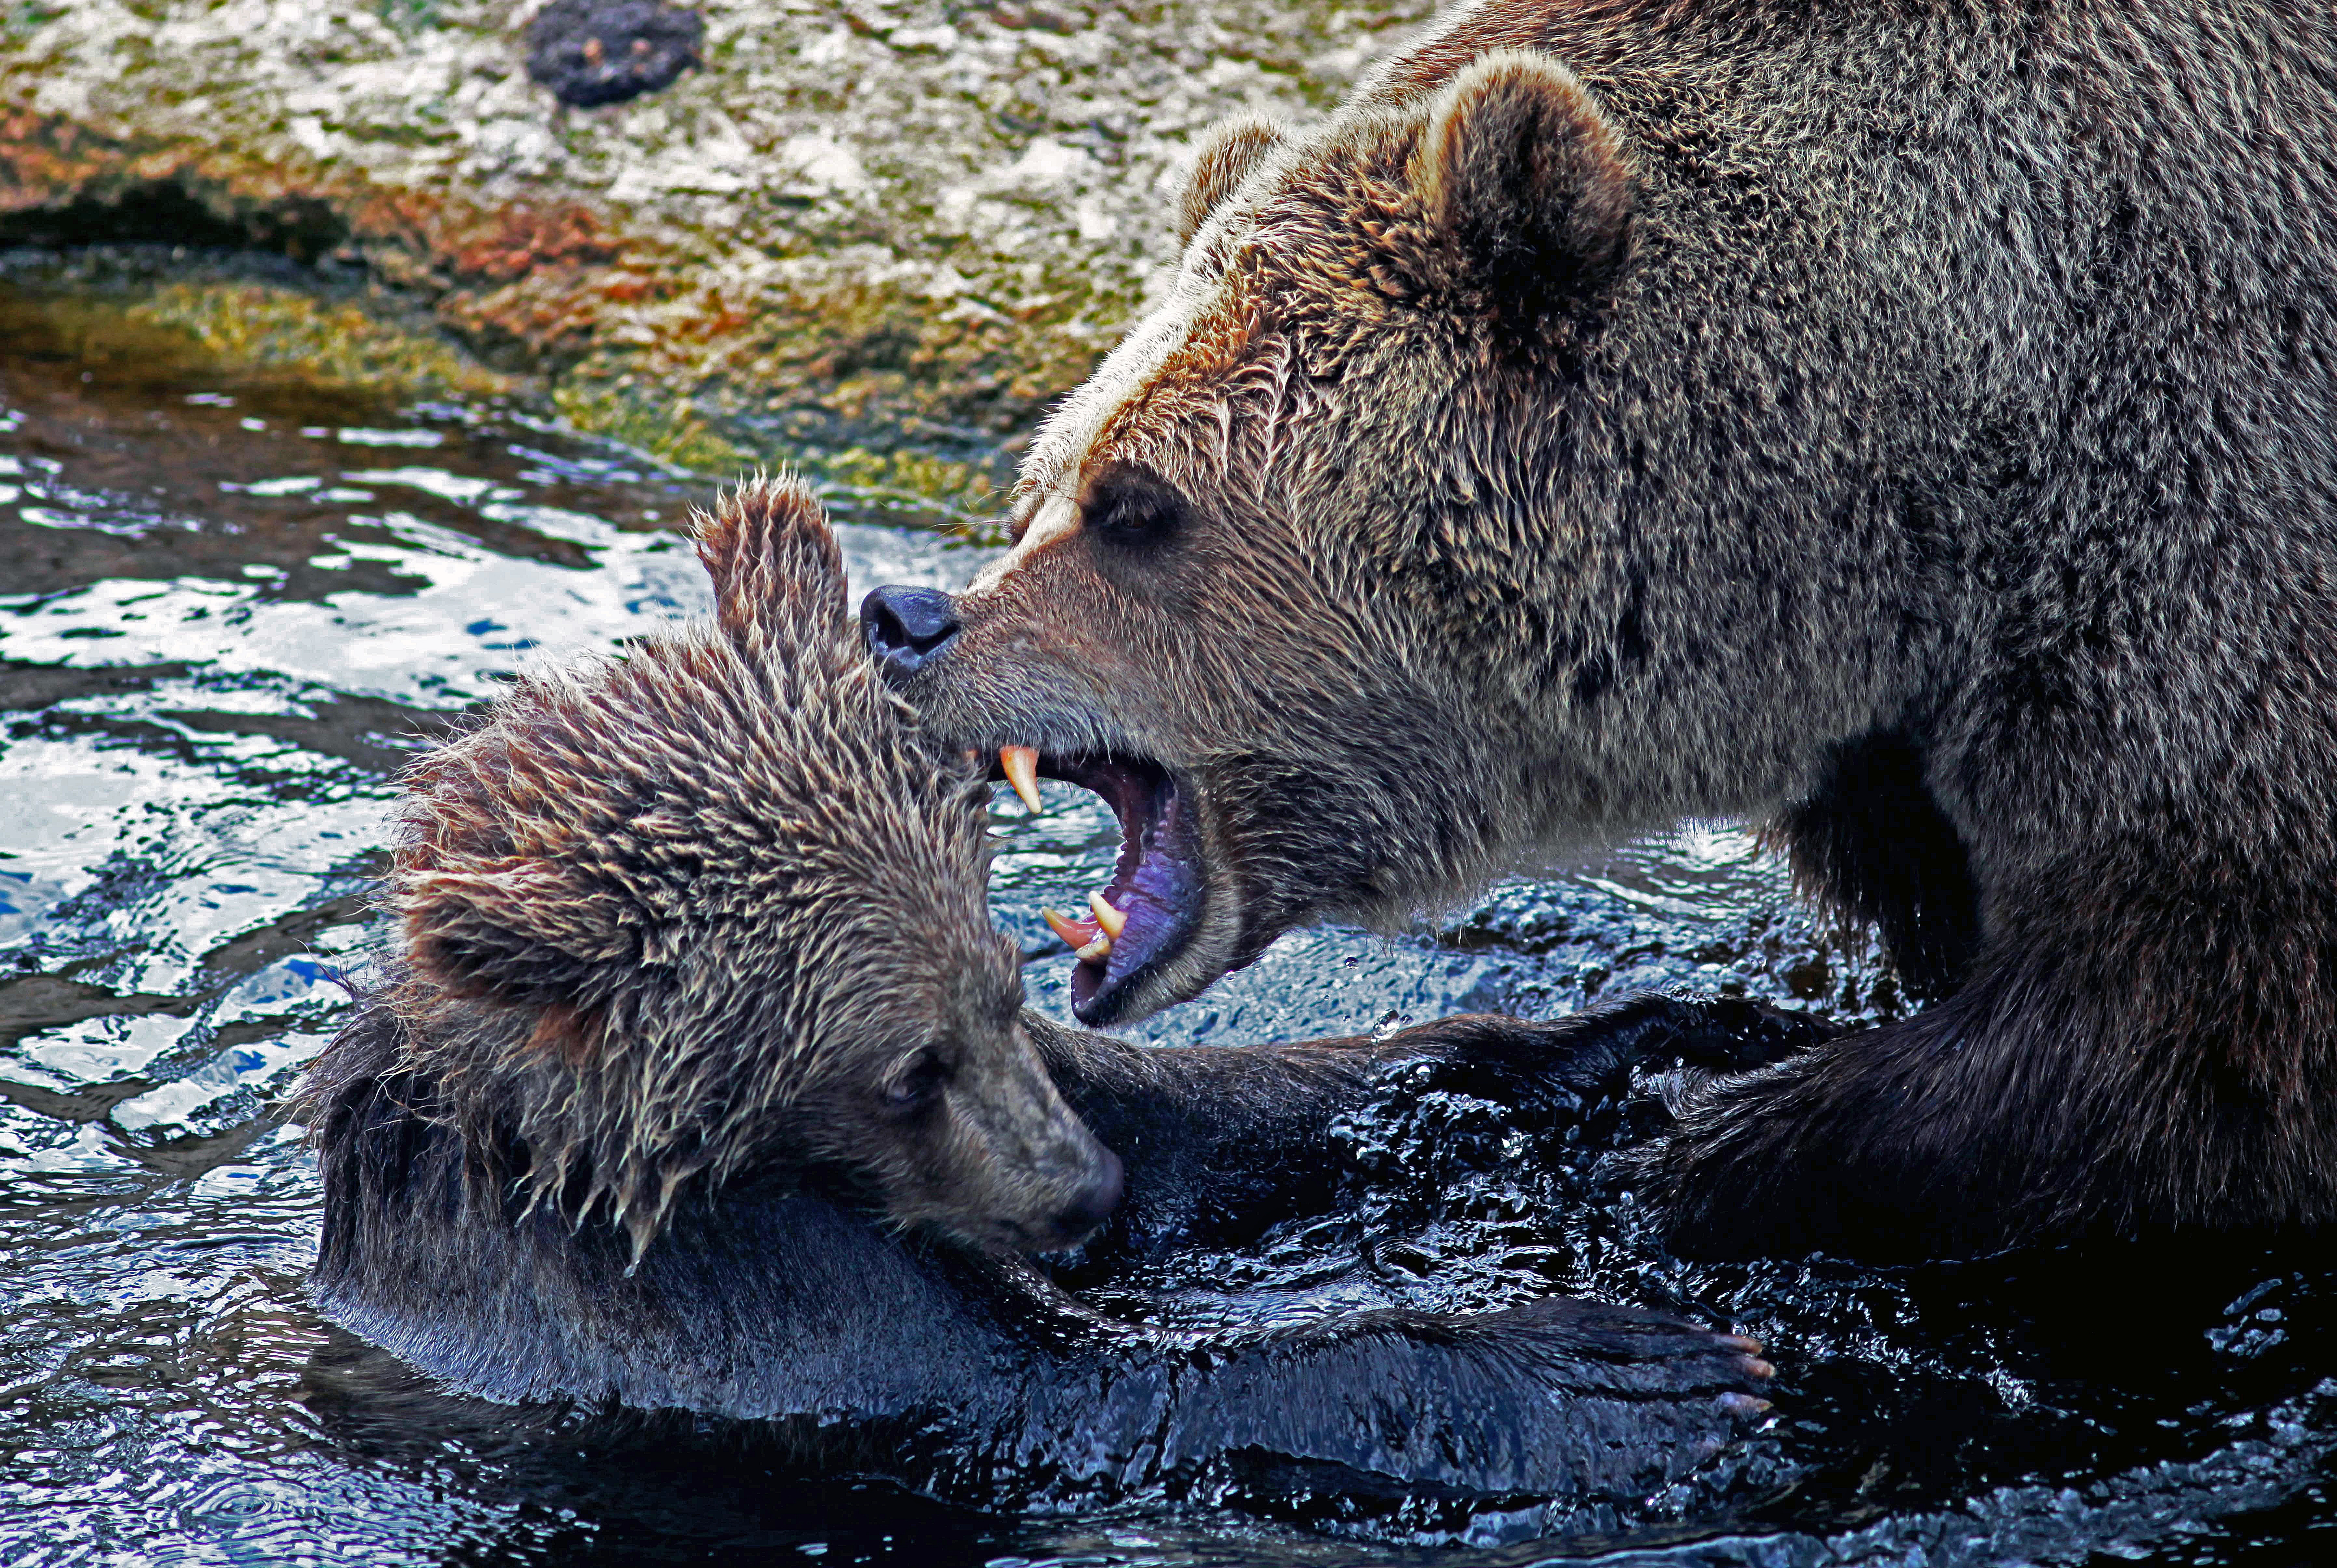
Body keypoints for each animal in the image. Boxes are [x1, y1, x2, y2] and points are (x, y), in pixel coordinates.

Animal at [306, 474, 1766, 1505]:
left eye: (1006, 990)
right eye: (901, 1069)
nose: (1082, 1192)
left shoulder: (1053, 1097)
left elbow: (1216, 1117)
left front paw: (1634, 1035)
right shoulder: (749, 1320)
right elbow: (1091, 1388)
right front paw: (1629, 1368)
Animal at [869, 0, 2337, 1271]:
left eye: (1134, 504)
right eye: (1044, 483)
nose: (903, 616)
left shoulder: (2193, 545)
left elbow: (2176, 1029)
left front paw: (1703, 1124)